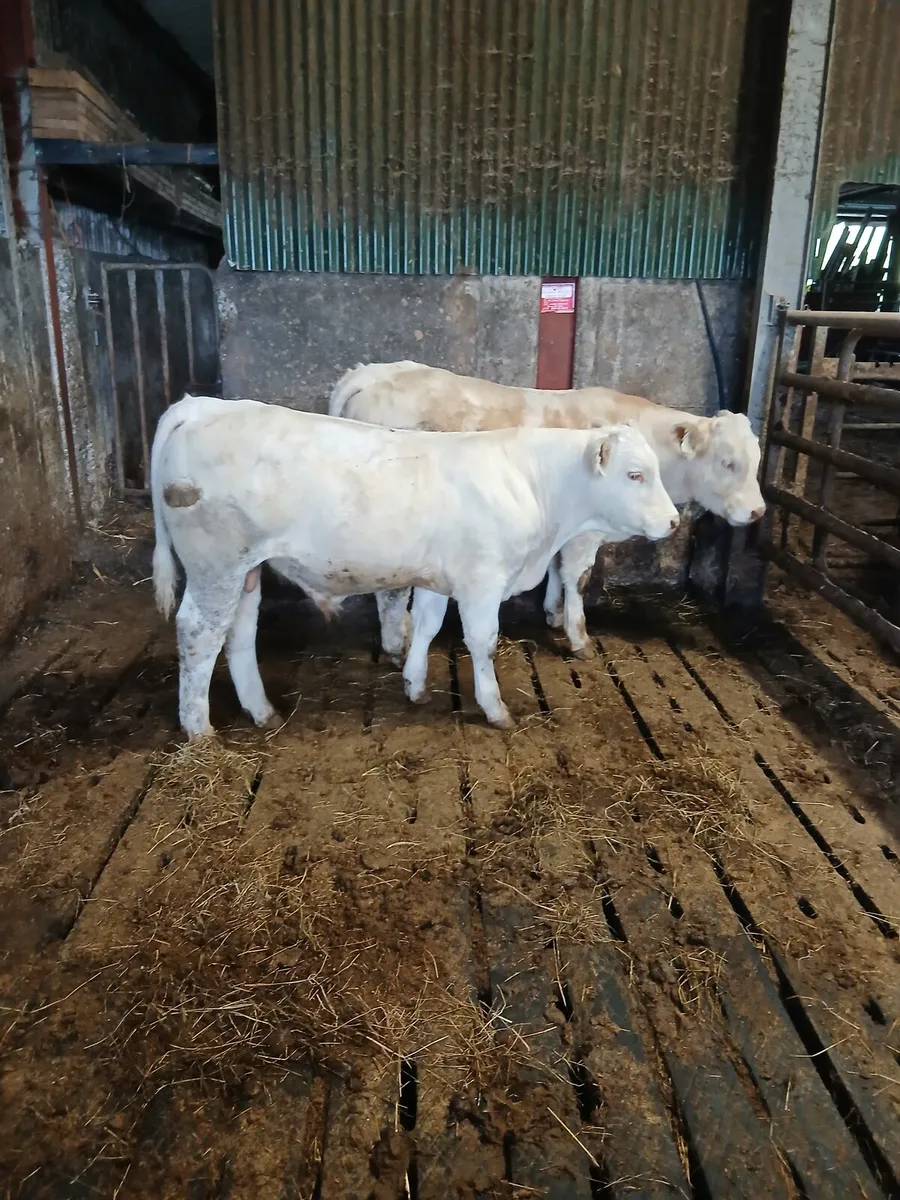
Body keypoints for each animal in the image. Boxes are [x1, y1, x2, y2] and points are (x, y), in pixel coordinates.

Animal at [151, 394, 679, 738]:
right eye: (635, 474)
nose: (674, 521)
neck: (532, 485)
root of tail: (199, 405)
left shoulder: (438, 577)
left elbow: (425, 624)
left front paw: (415, 684)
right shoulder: (482, 581)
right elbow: (482, 642)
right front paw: (494, 708)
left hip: (245, 569)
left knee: (237, 632)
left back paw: (261, 711)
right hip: (216, 564)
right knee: (198, 632)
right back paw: (199, 730)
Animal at [329, 361, 765, 660]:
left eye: (757, 459)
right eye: (728, 463)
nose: (759, 512)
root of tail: (374, 372)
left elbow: (558, 570)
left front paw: (553, 615)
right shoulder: (587, 533)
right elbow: (578, 577)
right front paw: (579, 637)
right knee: (389, 589)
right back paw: (397, 643)